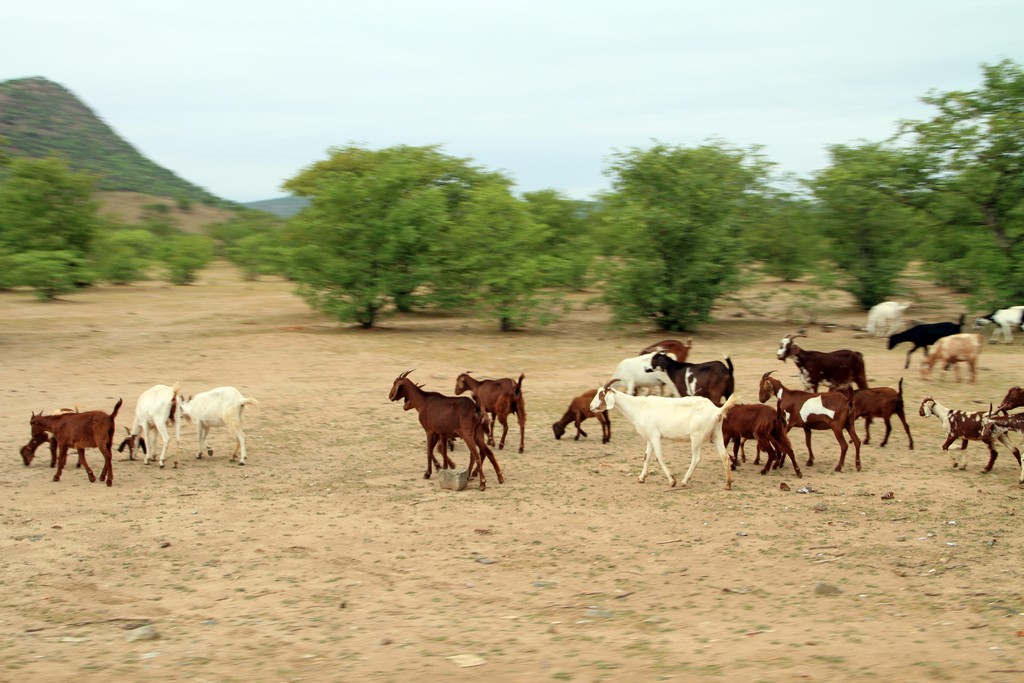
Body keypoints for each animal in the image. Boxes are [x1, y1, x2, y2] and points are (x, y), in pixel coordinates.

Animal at [589, 376, 741, 489]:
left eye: (601, 394)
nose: (591, 407)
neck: (639, 407)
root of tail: (717, 411)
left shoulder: (655, 436)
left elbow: (659, 457)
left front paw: (672, 481)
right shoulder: (649, 437)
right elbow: (646, 457)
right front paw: (641, 478)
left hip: (696, 437)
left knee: (696, 458)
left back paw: (684, 481)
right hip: (716, 434)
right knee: (724, 456)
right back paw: (728, 484)